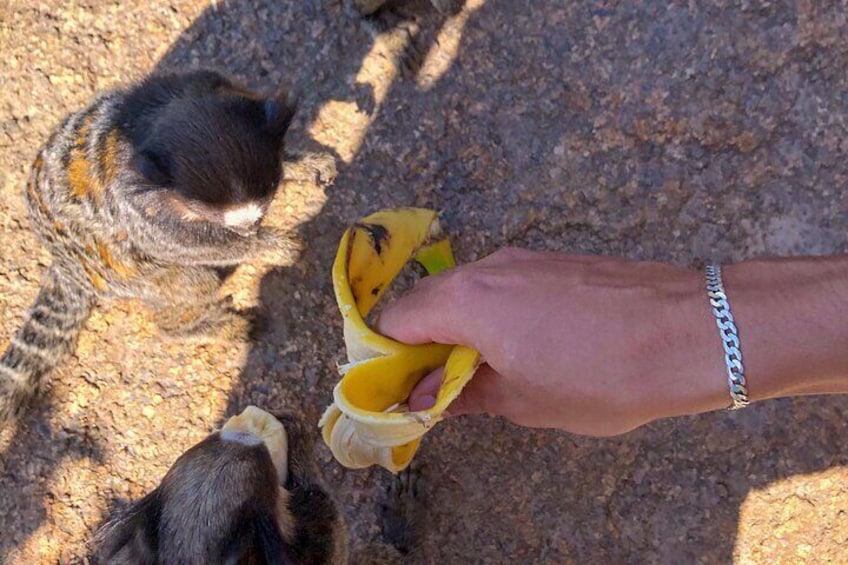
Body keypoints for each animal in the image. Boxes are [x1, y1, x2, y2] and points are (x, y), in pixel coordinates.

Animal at [0, 70, 328, 426]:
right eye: (238, 227)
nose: (249, 231)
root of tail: (65, 265)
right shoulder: (135, 203)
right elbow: (178, 245)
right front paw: (267, 247)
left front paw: (300, 165)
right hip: (123, 276)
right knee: (193, 282)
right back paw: (198, 326)